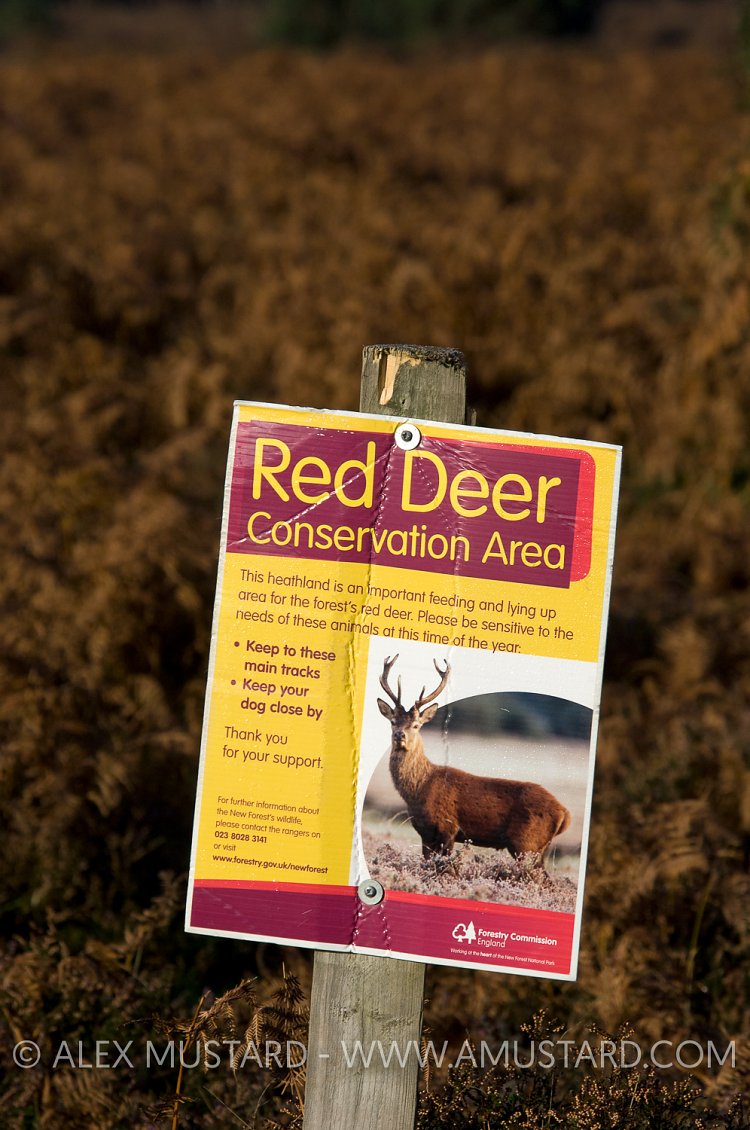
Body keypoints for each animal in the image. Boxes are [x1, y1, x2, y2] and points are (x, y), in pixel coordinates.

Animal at [377, 655, 571, 872]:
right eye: (393, 721)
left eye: (416, 725)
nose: (399, 735)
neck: (418, 789)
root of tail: (564, 814)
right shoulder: (425, 833)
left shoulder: (448, 827)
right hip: (538, 848)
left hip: (526, 842)